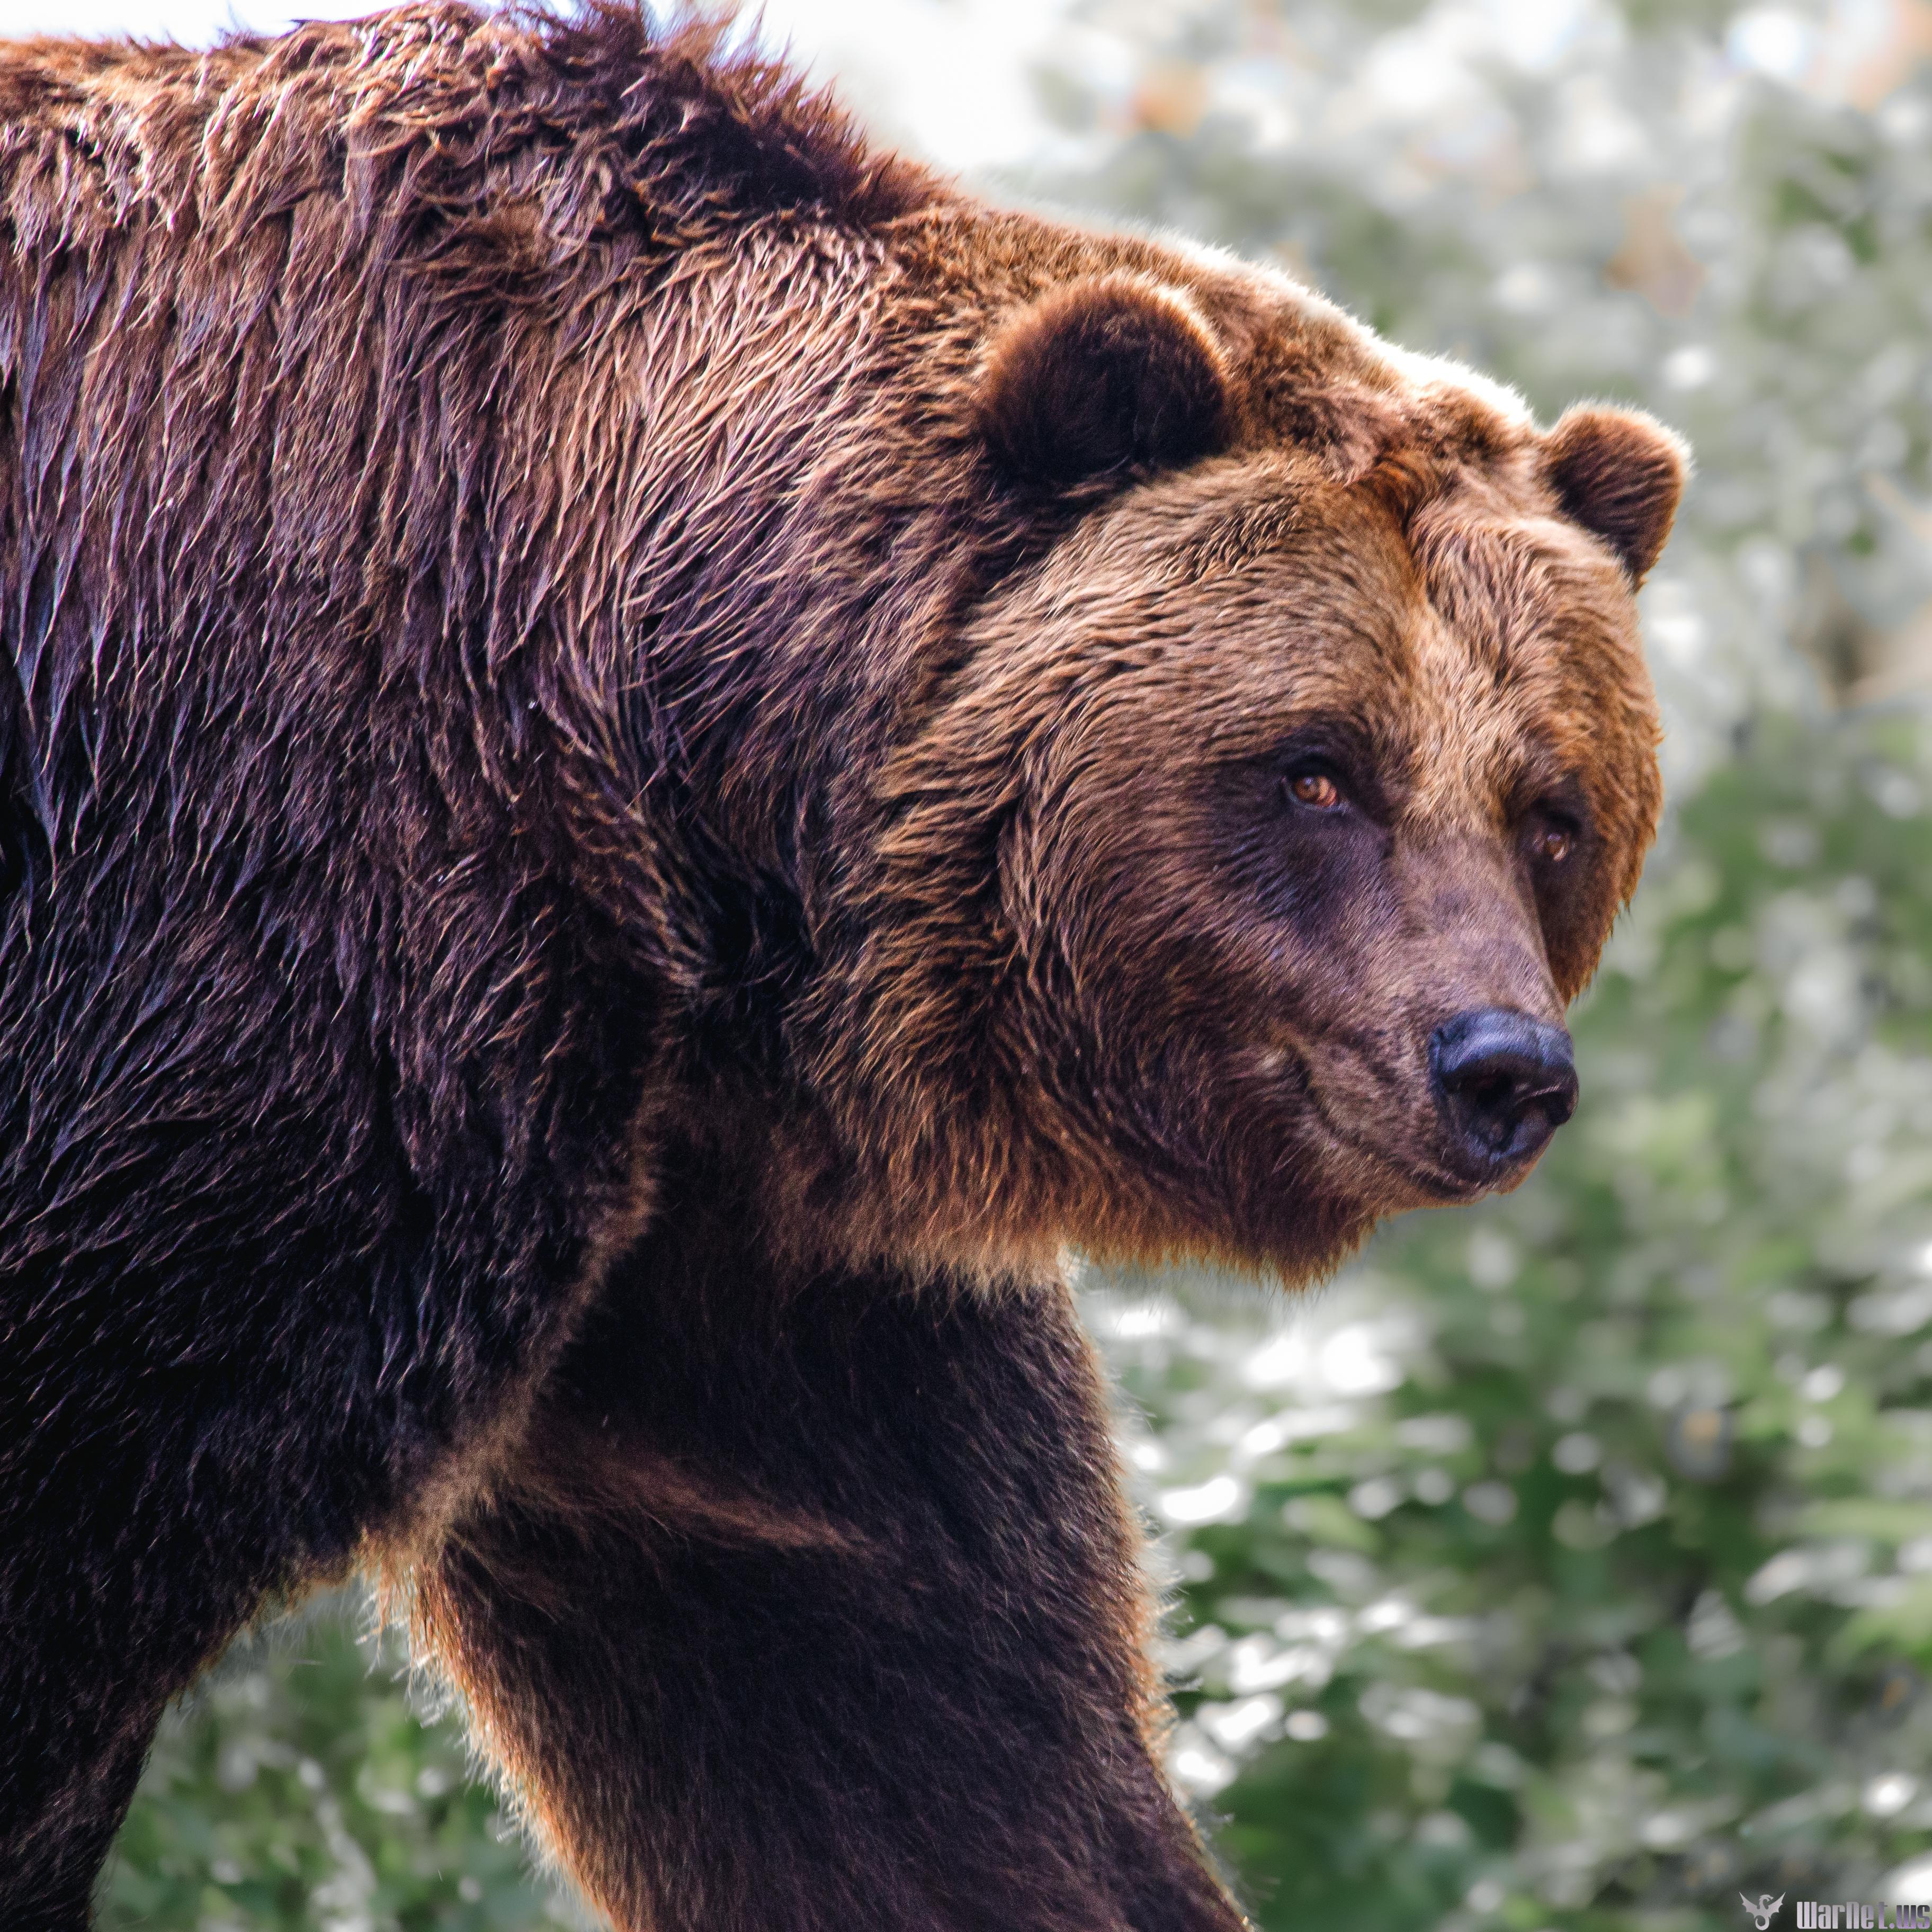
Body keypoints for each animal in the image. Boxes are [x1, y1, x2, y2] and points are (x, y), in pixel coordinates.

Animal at [0, 7, 1677, 1924]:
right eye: (1318, 767)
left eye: (1550, 807)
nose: (1500, 1066)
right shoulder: (261, 918)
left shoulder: (734, 1255)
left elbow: (903, 1700)